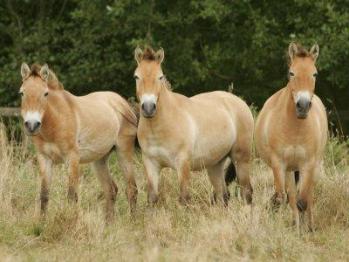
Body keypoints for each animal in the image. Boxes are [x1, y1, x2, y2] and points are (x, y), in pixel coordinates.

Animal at [18, 63, 137, 221]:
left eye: (45, 93)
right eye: (22, 93)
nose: (32, 125)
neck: (55, 122)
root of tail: (122, 102)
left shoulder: (72, 158)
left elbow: (72, 196)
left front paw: (70, 222)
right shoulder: (44, 159)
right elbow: (44, 195)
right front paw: (41, 224)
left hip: (124, 152)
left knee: (131, 189)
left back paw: (133, 221)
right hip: (99, 160)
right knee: (111, 190)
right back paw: (109, 224)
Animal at [133, 48, 253, 206]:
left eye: (160, 77)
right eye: (136, 77)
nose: (148, 108)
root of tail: (240, 102)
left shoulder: (183, 164)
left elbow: (184, 199)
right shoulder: (151, 164)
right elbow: (152, 199)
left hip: (241, 159)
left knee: (246, 192)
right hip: (215, 164)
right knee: (223, 195)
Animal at [254, 43, 328, 231]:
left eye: (315, 74)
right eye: (291, 73)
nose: (303, 105)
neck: (295, 129)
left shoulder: (307, 164)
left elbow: (303, 201)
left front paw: (305, 230)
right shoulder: (279, 164)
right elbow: (283, 198)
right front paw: (292, 229)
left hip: (312, 167)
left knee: (308, 196)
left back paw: (310, 226)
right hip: (289, 170)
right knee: (292, 196)